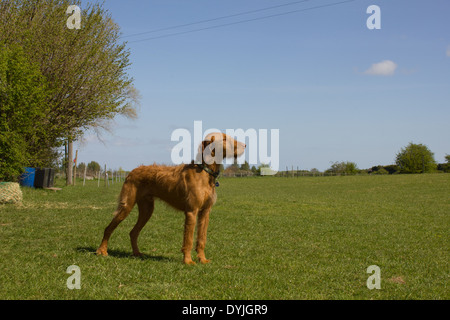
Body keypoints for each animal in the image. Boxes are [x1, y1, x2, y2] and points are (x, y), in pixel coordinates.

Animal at [94, 131, 246, 264]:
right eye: (224, 139)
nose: (245, 145)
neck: (204, 171)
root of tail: (131, 171)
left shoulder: (205, 212)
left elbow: (201, 239)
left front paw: (202, 259)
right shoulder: (191, 212)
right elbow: (188, 240)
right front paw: (188, 261)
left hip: (147, 210)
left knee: (133, 232)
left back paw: (136, 253)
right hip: (127, 205)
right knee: (108, 228)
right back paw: (102, 251)